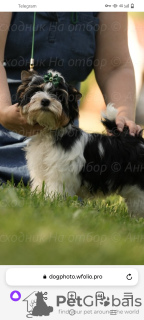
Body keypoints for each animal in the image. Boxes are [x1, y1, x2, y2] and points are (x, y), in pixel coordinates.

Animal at [17, 70, 144, 218]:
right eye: (37, 90)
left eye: (59, 95)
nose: (45, 100)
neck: (50, 132)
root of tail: (137, 141)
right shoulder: (41, 170)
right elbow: (40, 184)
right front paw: (38, 199)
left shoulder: (59, 174)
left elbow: (55, 189)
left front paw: (51, 203)